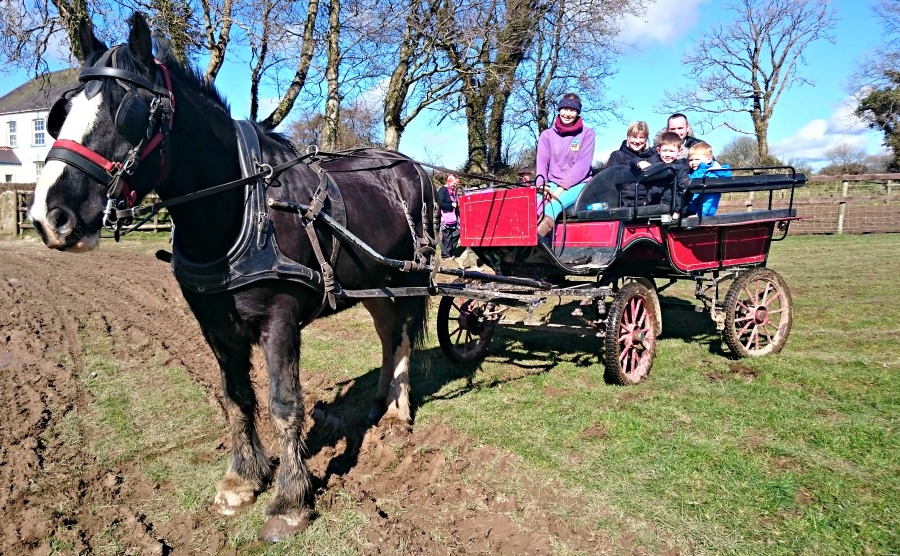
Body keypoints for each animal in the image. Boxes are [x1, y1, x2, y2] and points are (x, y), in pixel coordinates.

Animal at [28, 14, 436, 544]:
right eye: (61, 114)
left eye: (127, 112)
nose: (48, 216)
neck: (239, 205)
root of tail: (412, 168)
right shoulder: (216, 326)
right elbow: (237, 399)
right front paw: (242, 480)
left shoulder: (279, 321)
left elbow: (284, 403)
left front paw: (289, 500)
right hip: (376, 281)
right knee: (387, 333)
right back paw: (380, 402)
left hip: (411, 275)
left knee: (403, 335)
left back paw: (398, 410)